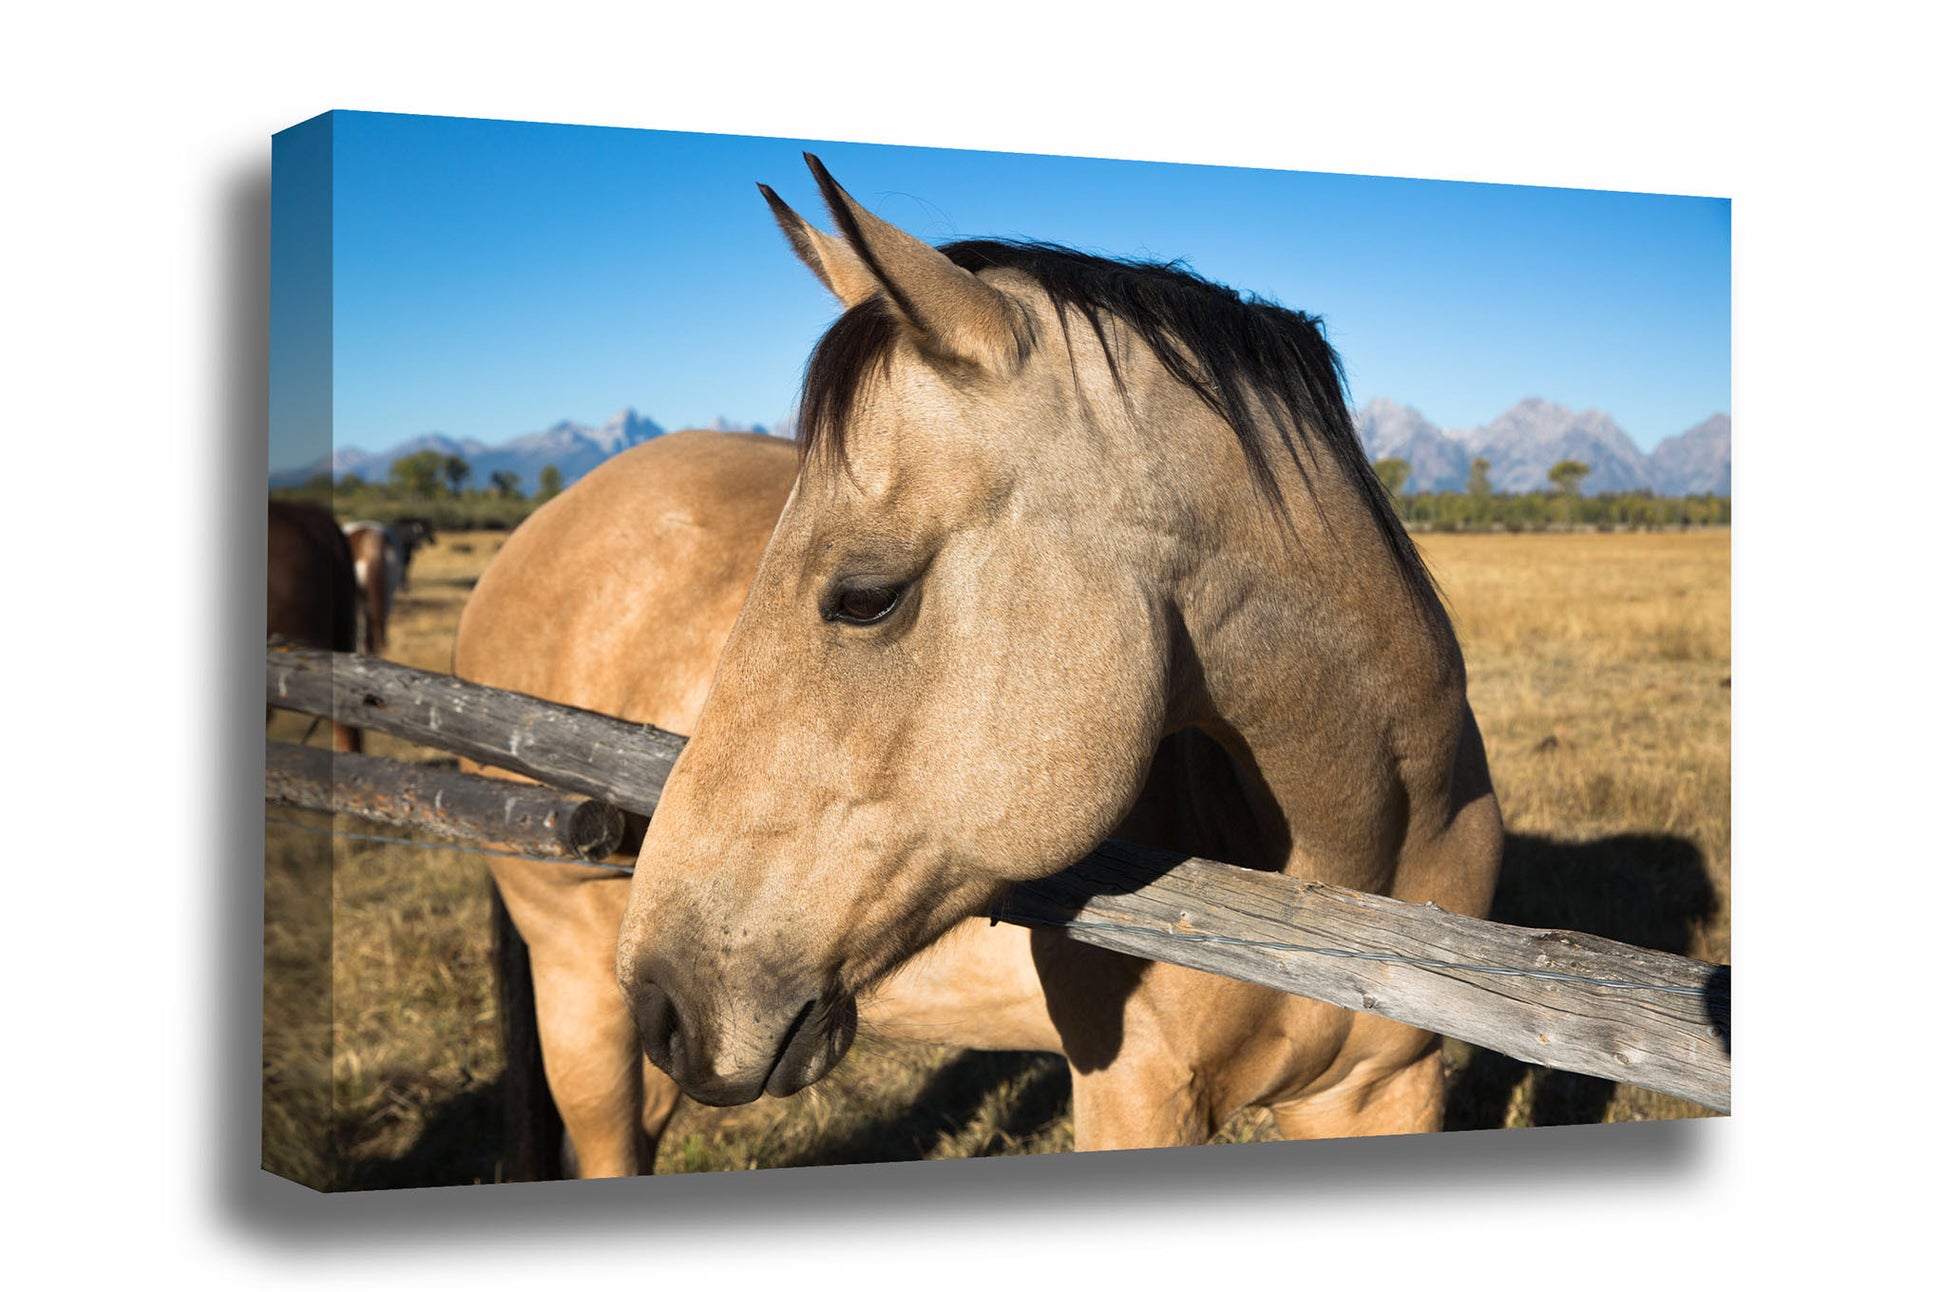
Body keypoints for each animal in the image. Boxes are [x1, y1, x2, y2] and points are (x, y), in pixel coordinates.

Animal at [455, 155, 1503, 1174]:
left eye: (865, 598)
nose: (667, 997)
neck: (1352, 862)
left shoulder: (1383, 1089)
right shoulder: (1136, 1094)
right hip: (578, 989)